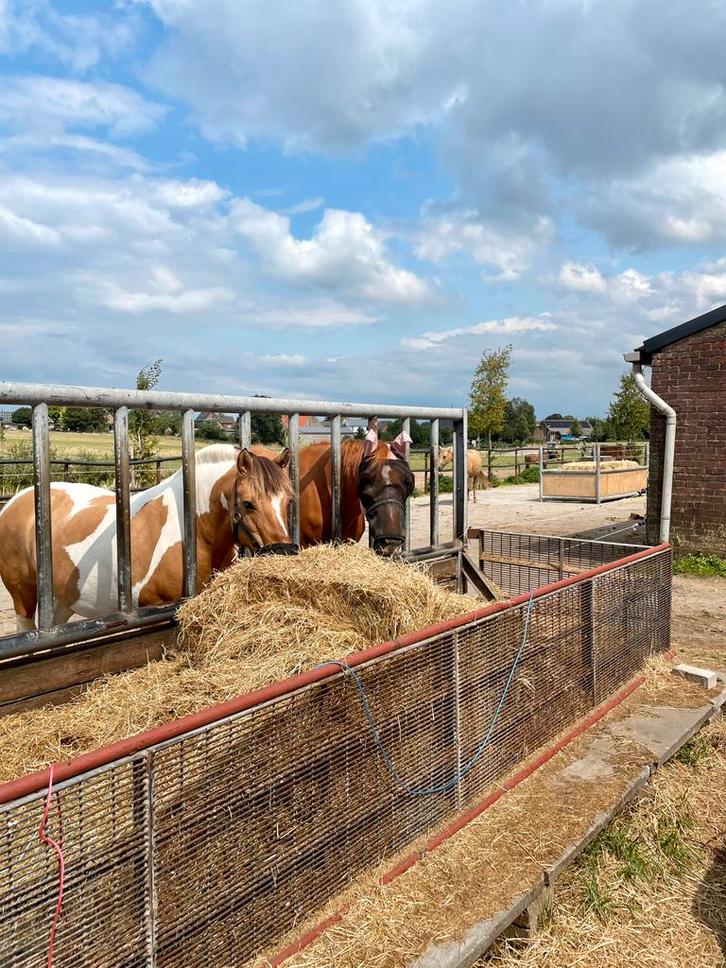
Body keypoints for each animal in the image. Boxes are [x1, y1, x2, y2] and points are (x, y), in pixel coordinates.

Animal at [0, 444, 292, 631]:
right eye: (248, 503)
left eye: (288, 500)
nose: (283, 553)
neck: (194, 533)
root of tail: (15, 501)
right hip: (24, 599)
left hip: (63, 599)